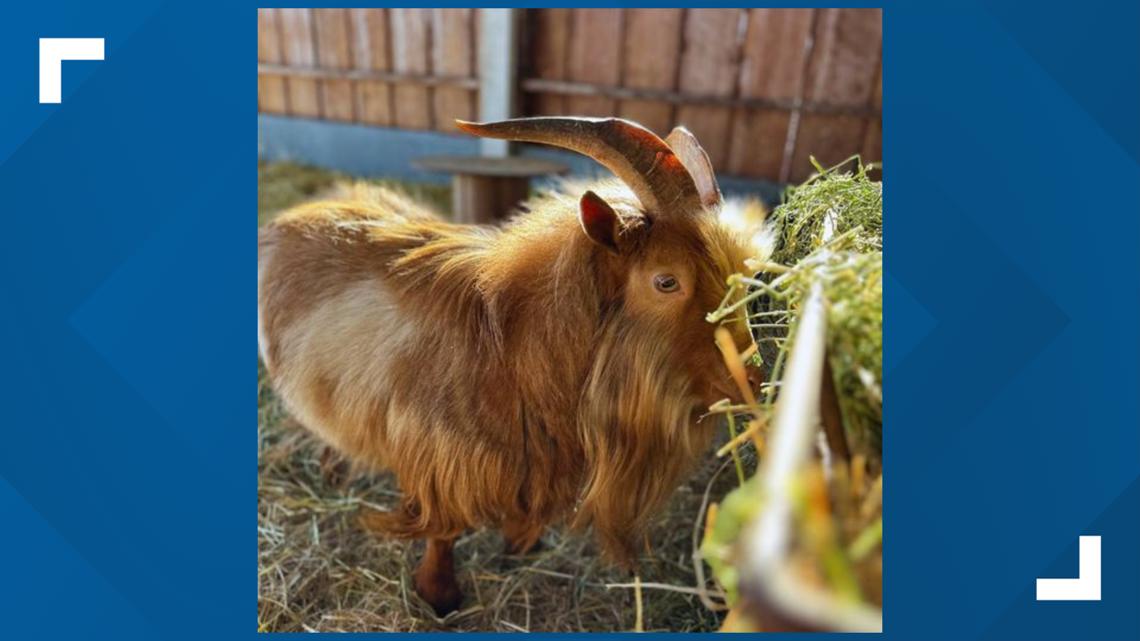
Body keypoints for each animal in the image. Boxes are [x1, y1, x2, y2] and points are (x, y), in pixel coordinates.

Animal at [258, 117, 763, 615]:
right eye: (666, 281)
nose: (753, 380)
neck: (507, 348)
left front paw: (519, 547)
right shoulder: (438, 462)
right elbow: (443, 531)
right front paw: (439, 596)